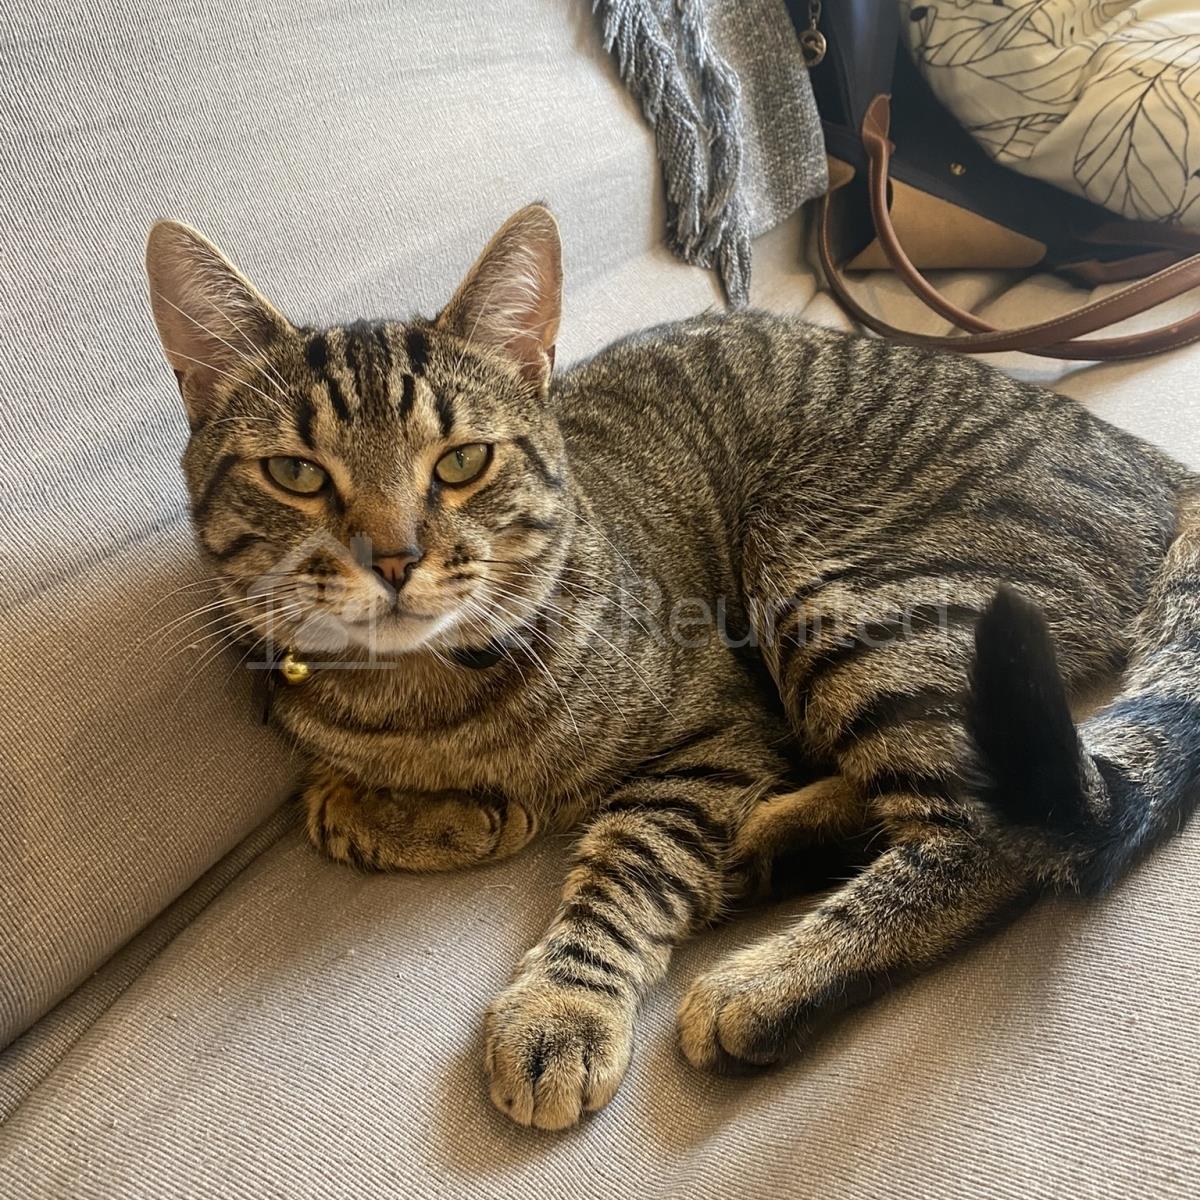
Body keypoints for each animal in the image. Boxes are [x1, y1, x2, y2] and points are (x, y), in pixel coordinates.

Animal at [145, 203, 1200, 1130]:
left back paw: (763, 980)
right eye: (296, 474)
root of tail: (1149, 458)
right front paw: (436, 814)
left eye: (461, 463)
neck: (423, 697)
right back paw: (759, 855)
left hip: (839, 583)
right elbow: (335, 803)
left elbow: (631, 860)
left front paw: (564, 1006)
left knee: (997, 827)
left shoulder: (716, 723)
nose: (395, 557)